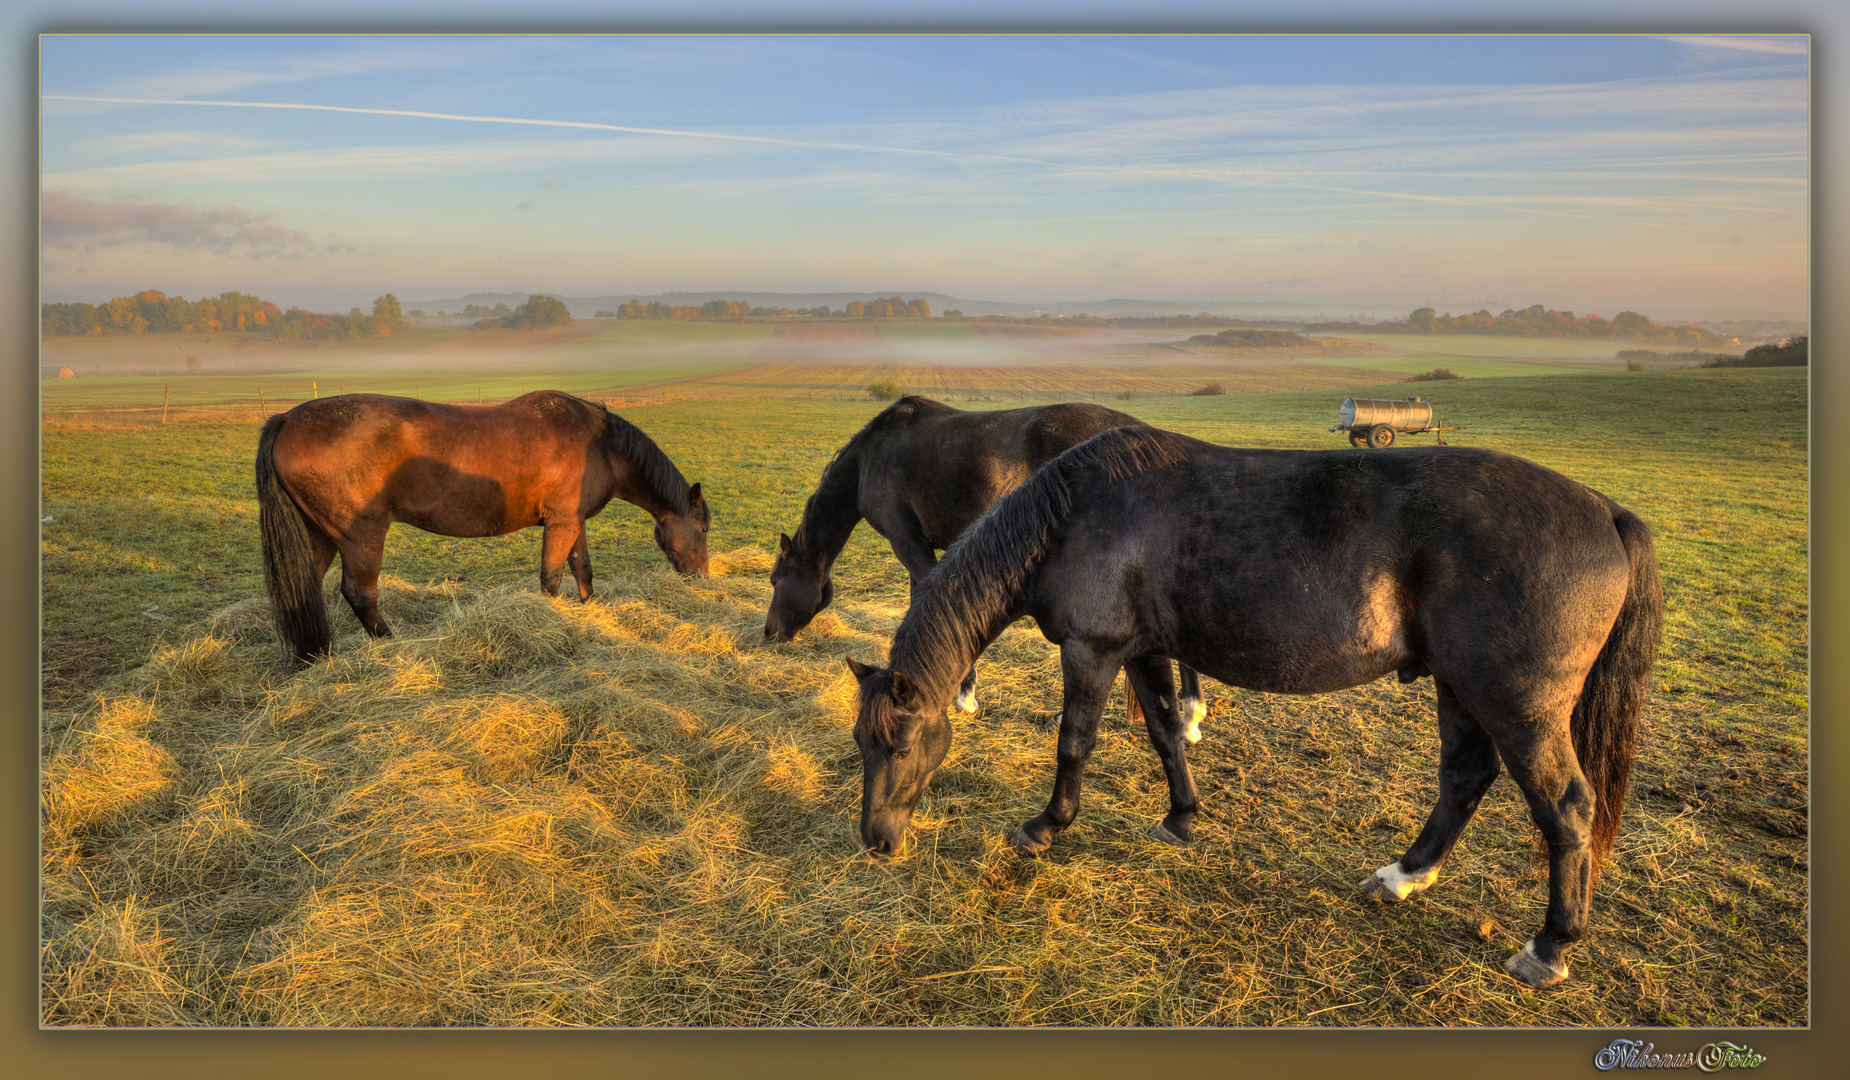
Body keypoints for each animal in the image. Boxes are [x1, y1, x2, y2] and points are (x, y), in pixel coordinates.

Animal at [249, 392, 703, 662]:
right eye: (702, 530)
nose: (701, 578)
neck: (600, 443)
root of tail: (288, 419)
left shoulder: (574, 522)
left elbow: (582, 569)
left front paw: (591, 612)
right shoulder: (560, 524)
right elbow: (552, 579)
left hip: (318, 535)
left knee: (306, 592)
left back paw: (316, 657)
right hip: (360, 535)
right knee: (360, 594)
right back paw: (394, 647)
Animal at [765, 395, 1213, 732]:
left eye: (774, 580)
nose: (769, 633)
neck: (870, 459)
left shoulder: (908, 543)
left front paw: (963, 694)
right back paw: (1190, 715)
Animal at [847, 423, 1672, 983]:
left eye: (900, 742)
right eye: (862, 742)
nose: (876, 840)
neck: (1077, 513)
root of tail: (1604, 511)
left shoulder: (1092, 650)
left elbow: (1075, 742)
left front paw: (1044, 827)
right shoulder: (1140, 650)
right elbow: (1164, 732)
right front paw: (1181, 817)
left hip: (1518, 707)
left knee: (1565, 808)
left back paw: (1548, 946)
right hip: (1460, 688)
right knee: (1464, 779)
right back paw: (1403, 877)